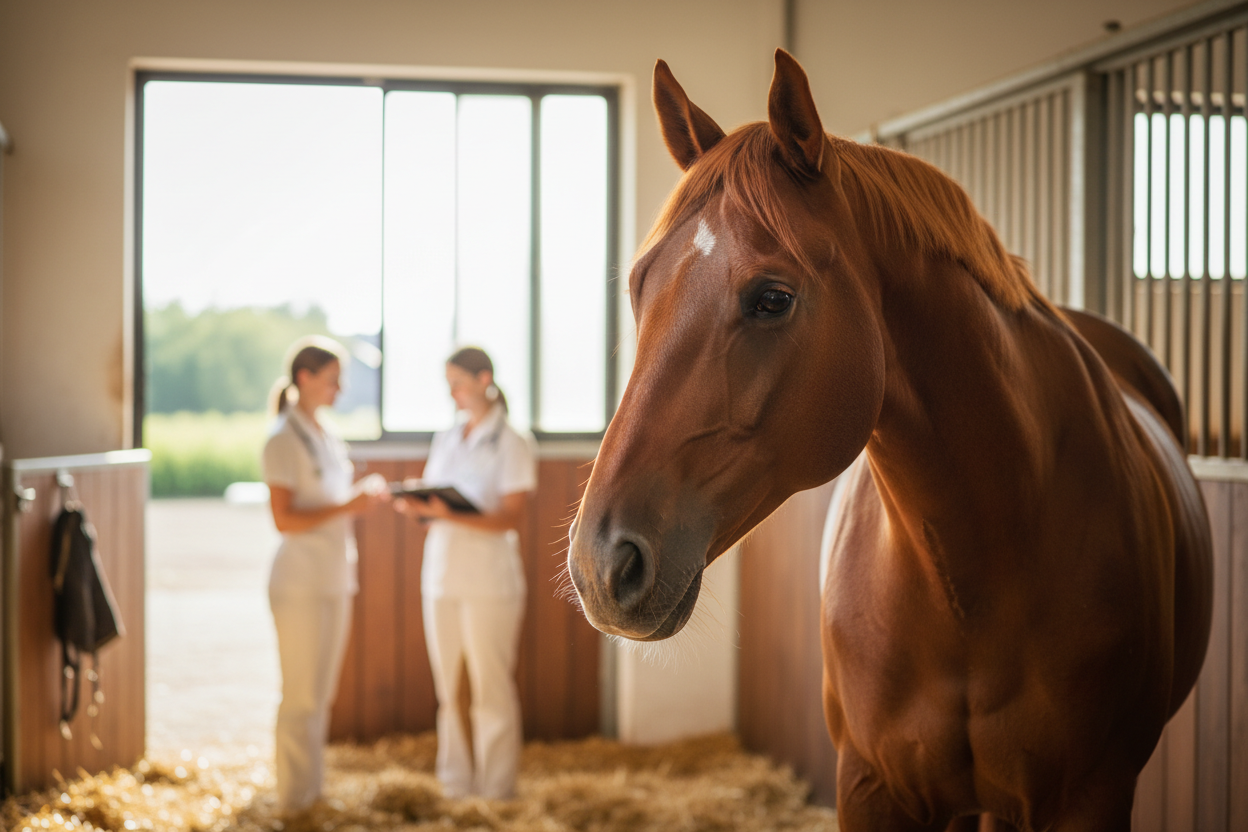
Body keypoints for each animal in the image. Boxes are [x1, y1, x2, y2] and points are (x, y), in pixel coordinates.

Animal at [566, 49, 1213, 832]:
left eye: (773, 298)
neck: (970, 582)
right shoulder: (871, 784)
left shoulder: (1090, 794)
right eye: (638, 287)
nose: (600, 564)